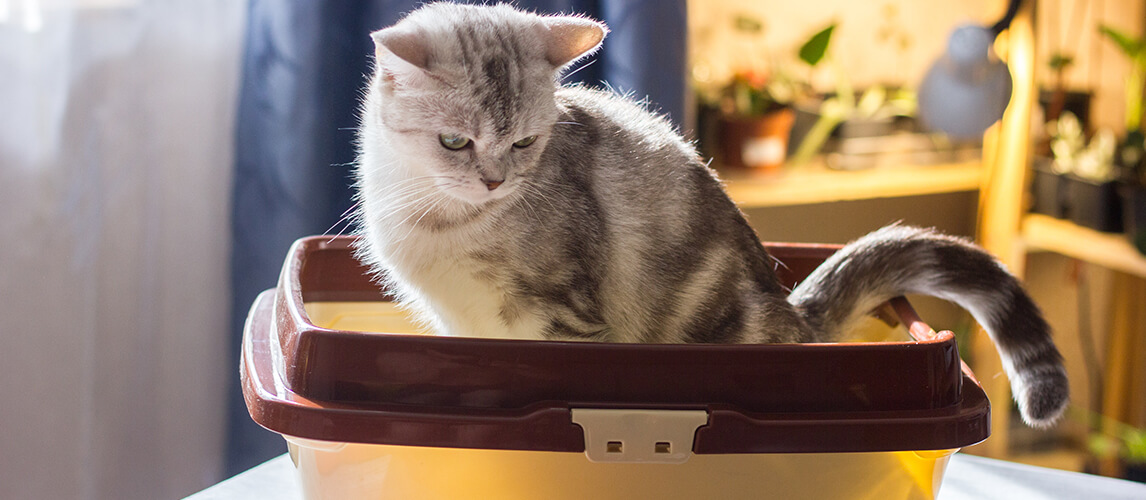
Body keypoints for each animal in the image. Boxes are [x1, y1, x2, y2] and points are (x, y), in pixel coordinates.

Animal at [348, 1, 1063, 426]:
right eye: (454, 142)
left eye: (525, 142)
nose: (495, 182)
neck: (434, 216)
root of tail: (792, 313)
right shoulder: (454, 320)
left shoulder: (562, 314)